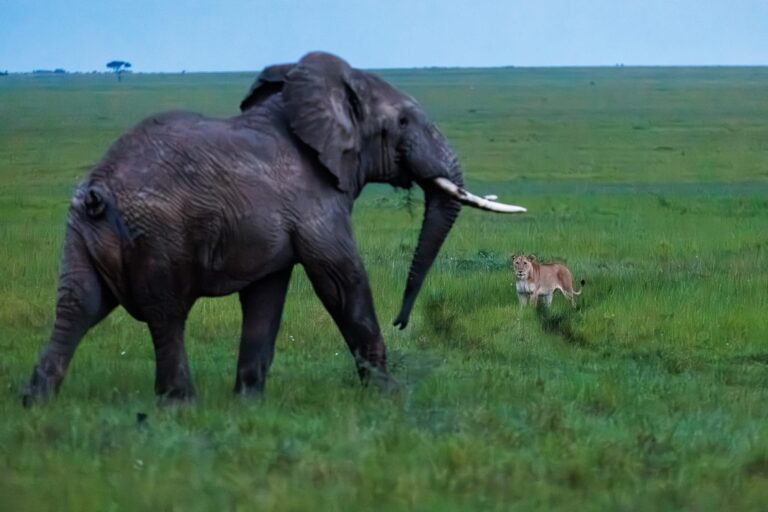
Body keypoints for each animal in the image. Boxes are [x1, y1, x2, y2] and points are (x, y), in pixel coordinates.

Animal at [22, 52, 525, 404]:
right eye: (402, 121)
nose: (403, 322)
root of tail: (97, 191)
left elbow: (267, 297)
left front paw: (249, 403)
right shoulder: (314, 201)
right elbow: (341, 282)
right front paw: (390, 396)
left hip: (81, 233)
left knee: (78, 305)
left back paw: (36, 403)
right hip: (156, 235)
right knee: (166, 314)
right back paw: (180, 405)